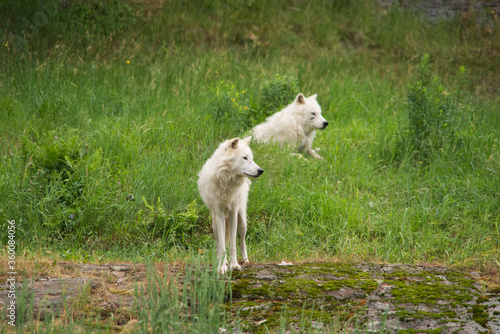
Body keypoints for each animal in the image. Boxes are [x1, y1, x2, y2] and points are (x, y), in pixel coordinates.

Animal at [197, 136, 264, 274]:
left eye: (251, 158)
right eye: (245, 158)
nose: (261, 171)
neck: (227, 181)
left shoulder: (233, 212)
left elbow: (233, 245)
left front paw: (234, 265)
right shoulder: (219, 214)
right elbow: (223, 246)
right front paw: (222, 267)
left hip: (242, 221)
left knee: (243, 243)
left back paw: (245, 260)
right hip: (215, 224)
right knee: (219, 244)